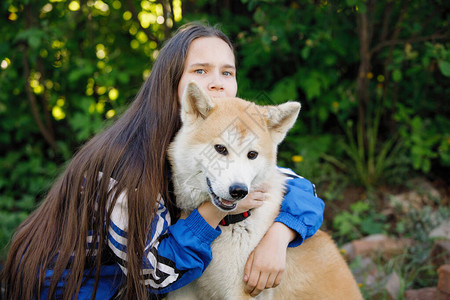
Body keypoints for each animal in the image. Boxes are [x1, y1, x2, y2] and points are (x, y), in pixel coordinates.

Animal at [167, 81, 364, 298]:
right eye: (220, 148)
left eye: (252, 154)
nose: (239, 191)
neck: (222, 225)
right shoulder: (183, 290)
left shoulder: (240, 292)